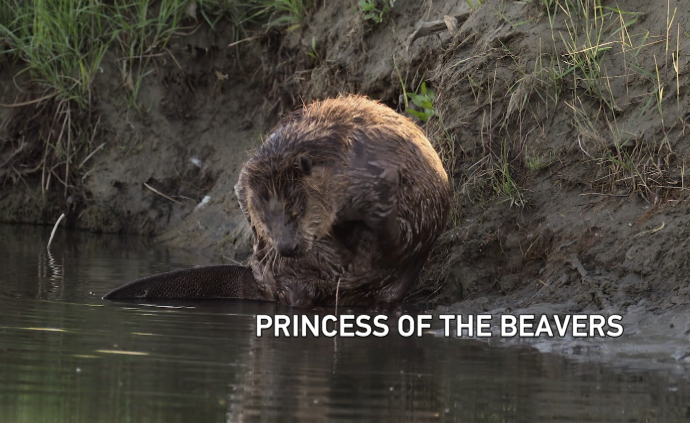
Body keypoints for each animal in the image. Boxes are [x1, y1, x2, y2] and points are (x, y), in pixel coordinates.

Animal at [101, 96, 446, 310]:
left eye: (297, 208)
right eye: (265, 217)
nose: (287, 247)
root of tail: (252, 284)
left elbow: (388, 219)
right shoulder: (250, 179)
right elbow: (242, 194)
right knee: (296, 294)